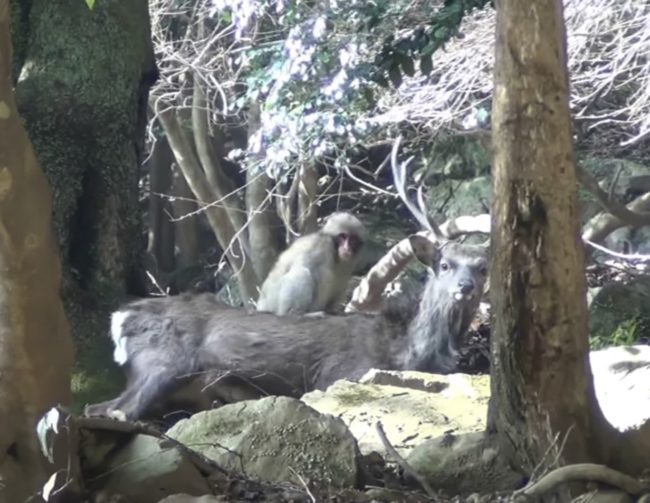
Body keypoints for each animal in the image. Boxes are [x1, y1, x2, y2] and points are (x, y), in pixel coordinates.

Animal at [85, 138, 490, 422]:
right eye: (444, 264)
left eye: (482, 267)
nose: (465, 288)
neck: (408, 350)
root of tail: (122, 316)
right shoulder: (345, 373)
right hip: (163, 360)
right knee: (118, 409)